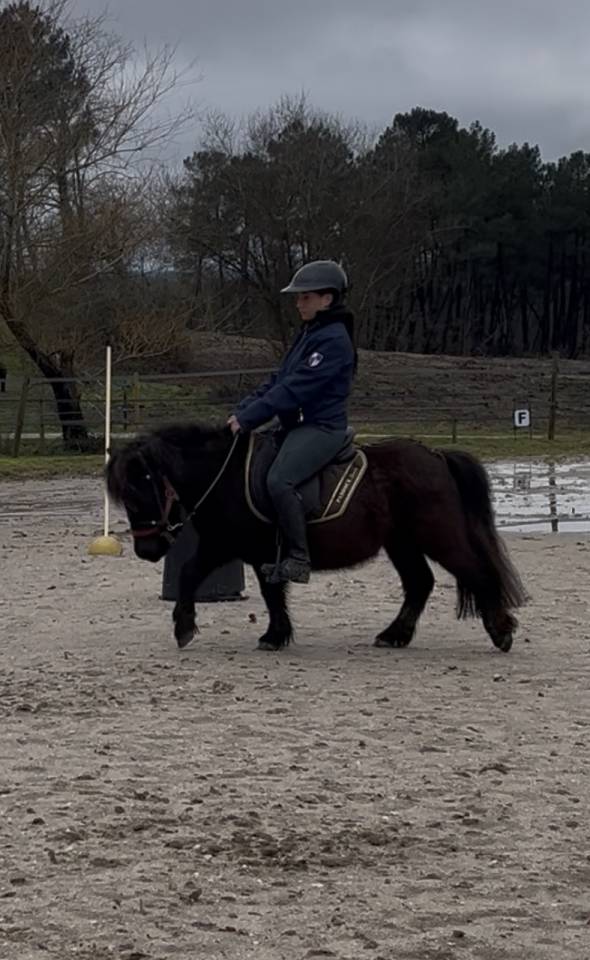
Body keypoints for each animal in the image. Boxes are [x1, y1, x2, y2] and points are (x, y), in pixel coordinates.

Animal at [106, 422, 526, 654]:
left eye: (140, 493)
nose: (146, 550)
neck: (224, 474)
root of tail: (436, 455)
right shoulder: (239, 549)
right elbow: (236, 585)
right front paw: (274, 634)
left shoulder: (230, 546)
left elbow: (199, 576)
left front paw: (187, 628)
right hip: (401, 542)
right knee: (419, 583)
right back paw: (395, 635)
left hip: (436, 535)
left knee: (475, 572)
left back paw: (500, 630)